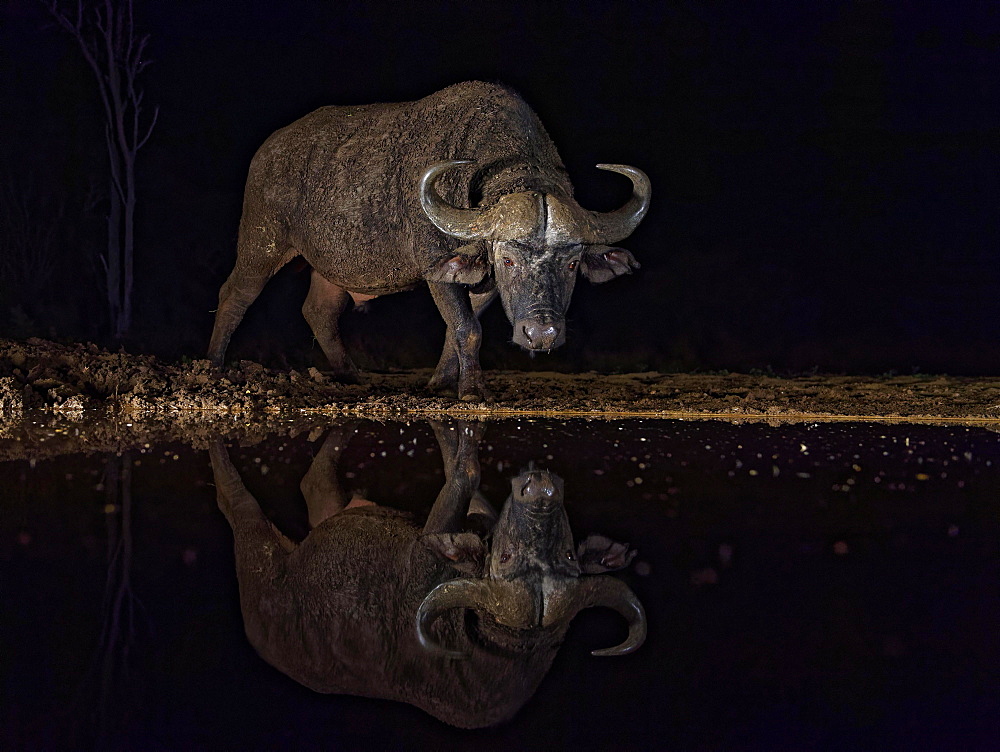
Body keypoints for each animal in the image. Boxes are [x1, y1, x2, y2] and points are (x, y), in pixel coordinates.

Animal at [207, 80, 652, 400]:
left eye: (572, 264)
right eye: (508, 260)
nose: (540, 334)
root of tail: (267, 152)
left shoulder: (480, 283)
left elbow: (459, 329)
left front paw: (440, 382)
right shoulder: (438, 269)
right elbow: (467, 329)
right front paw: (471, 391)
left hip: (331, 267)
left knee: (319, 311)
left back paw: (351, 375)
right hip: (262, 242)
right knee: (236, 294)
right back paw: (212, 368)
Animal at [211, 420, 648, 724]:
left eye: (570, 557)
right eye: (506, 556)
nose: (539, 489)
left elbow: (463, 472)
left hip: (258, 549)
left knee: (260, 496)